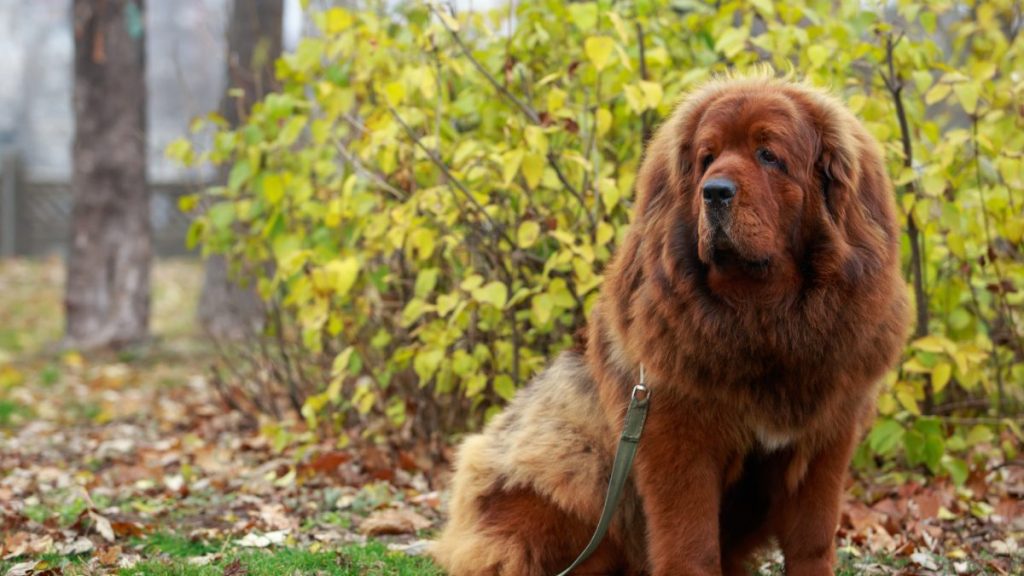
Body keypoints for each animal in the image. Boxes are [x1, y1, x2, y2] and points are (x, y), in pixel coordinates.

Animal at [428, 76, 909, 573]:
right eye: (707, 158)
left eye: (768, 155)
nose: (714, 191)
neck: (762, 318)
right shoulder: (677, 437)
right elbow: (690, 543)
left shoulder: (825, 440)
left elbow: (812, 541)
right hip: (572, 481)